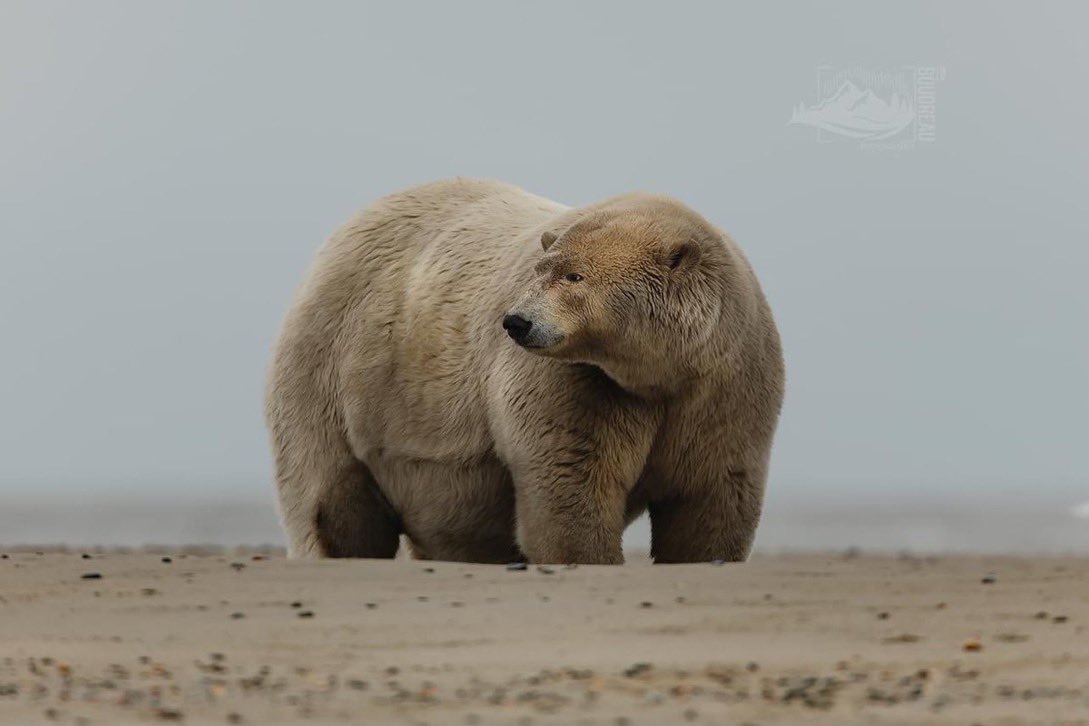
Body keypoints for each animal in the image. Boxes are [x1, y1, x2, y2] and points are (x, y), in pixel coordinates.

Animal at [267, 178, 788, 565]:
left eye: (575, 276)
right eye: (543, 270)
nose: (517, 321)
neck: (661, 372)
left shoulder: (728, 381)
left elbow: (711, 492)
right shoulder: (580, 380)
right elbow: (570, 473)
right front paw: (586, 555)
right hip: (337, 370)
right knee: (329, 498)